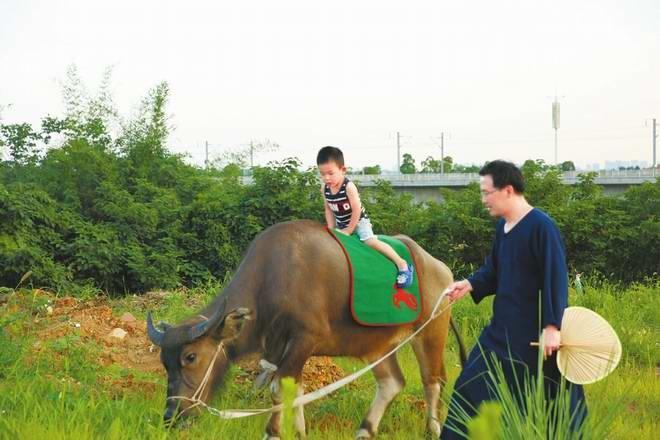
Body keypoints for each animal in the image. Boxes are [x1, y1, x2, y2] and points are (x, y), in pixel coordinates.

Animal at [147, 220, 464, 436]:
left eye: (190, 357)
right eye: (163, 362)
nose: (171, 415)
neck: (275, 278)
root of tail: (440, 268)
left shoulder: (305, 339)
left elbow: (278, 389)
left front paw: (274, 432)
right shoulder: (276, 347)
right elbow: (294, 390)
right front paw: (298, 431)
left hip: (431, 330)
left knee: (433, 380)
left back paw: (432, 429)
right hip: (377, 343)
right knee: (393, 382)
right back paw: (365, 430)